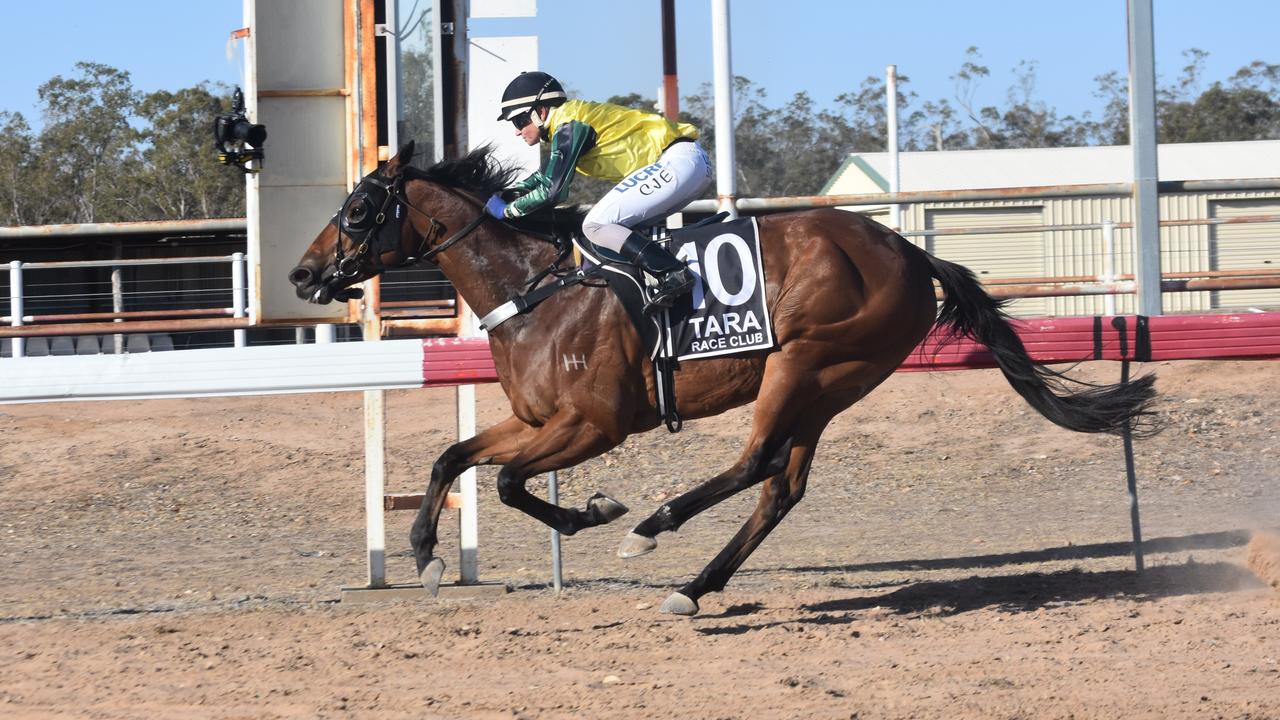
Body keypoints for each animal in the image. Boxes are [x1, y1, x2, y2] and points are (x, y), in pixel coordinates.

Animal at [290, 142, 1162, 614]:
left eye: (361, 206)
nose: (302, 274)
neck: (536, 287)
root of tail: (911, 252)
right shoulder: (540, 421)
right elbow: (454, 458)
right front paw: (427, 555)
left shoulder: (594, 424)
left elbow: (505, 482)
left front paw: (601, 511)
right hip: (831, 386)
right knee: (781, 486)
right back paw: (696, 584)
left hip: (803, 362)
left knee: (753, 463)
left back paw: (656, 527)